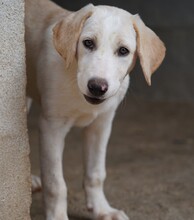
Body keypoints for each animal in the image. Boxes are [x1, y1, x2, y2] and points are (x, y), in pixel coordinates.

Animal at [25, 0, 166, 219]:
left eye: (123, 51)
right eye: (88, 43)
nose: (97, 87)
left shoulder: (101, 125)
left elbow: (96, 173)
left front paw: (102, 210)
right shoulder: (51, 126)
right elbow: (56, 182)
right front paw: (58, 215)